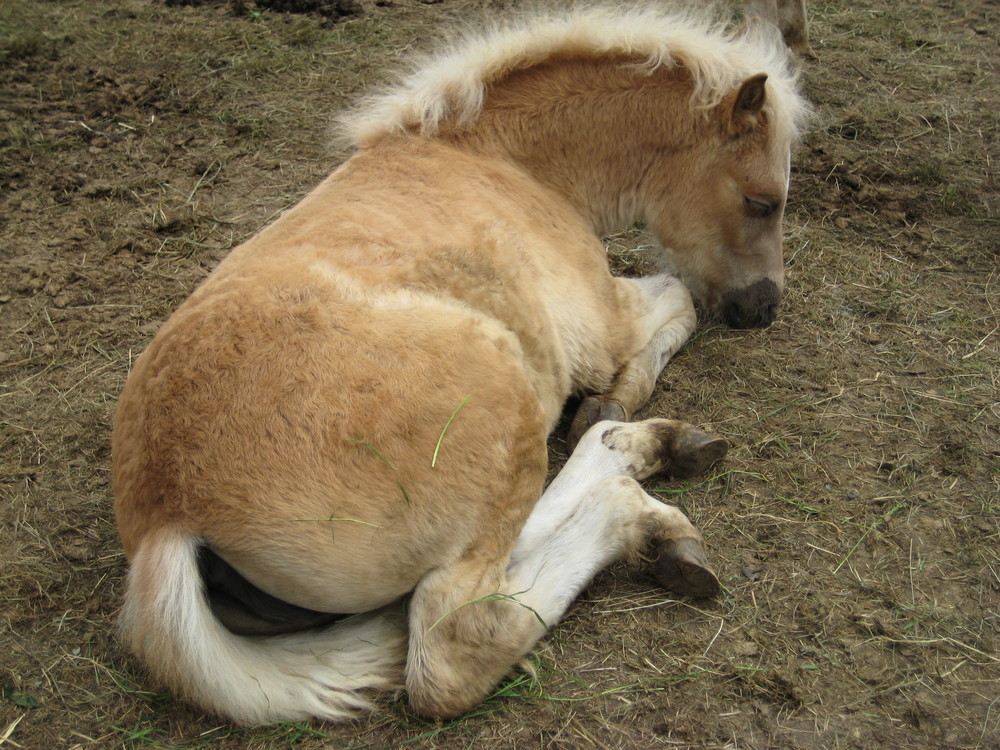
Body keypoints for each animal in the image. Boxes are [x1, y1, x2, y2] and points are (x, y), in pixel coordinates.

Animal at [113, 4, 808, 724]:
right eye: (762, 201)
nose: (763, 307)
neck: (504, 161)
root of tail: (167, 517)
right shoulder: (602, 321)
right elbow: (678, 299)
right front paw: (618, 395)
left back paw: (648, 455)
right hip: (504, 396)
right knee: (454, 639)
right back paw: (640, 500)